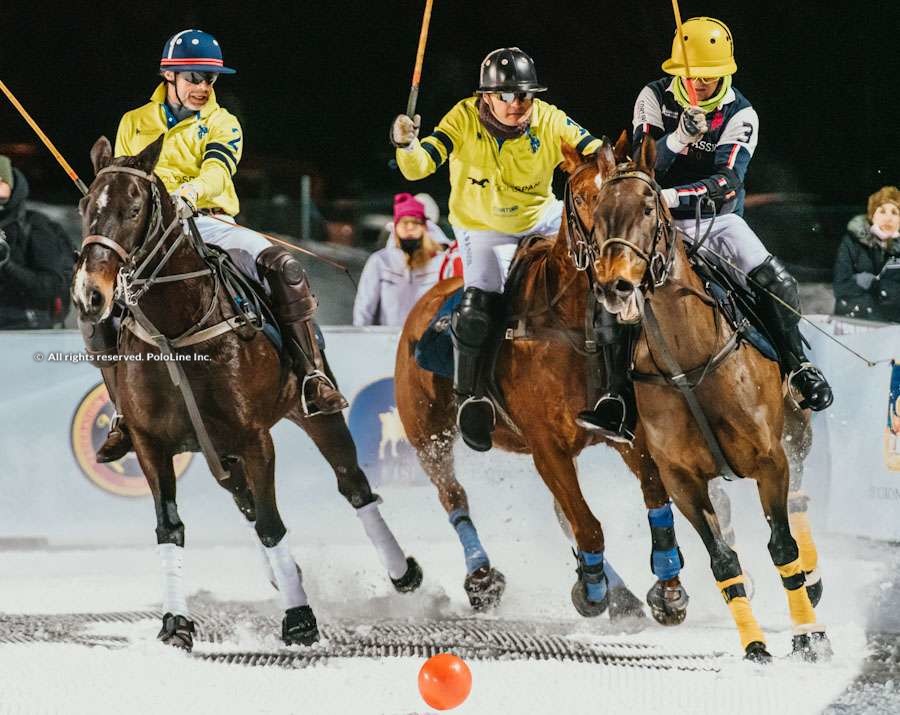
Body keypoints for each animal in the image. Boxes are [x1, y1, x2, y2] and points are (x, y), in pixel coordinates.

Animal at [72, 135, 422, 651]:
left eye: (134, 208)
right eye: (84, 206)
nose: (90, 295)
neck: (177, 330)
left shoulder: (255, 439)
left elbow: (274, 524)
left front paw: (299, 620)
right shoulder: (152, 445)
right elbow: (170, 526)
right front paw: (175, 623)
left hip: (313, 413)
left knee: (352, 485)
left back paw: (404, 573)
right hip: (218, 454)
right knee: (249, 505)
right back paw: (286, 574)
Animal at [395, 141, 690, 625]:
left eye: (645, 206)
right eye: (586, 199)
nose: (614, 278)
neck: (570, 322)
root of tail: (427, 301)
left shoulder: (628, 435)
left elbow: (654, 498)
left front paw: (668, 590)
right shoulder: (546, 445)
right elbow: (588, 524)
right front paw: (592, 590)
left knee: (558, 510)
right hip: (427, 434)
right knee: (453, 497)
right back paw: (483, 580)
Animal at [586, 135, 829, 661]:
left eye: (650, 207)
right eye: (598, 213)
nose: (615, 286)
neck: (689, 363)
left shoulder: (770, 460)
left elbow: (782, 547)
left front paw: (808, 635)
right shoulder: (682, 480)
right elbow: (723, 561)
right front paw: (755, 645)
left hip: (797, 439)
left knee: (800, 504)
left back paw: (814, 584)